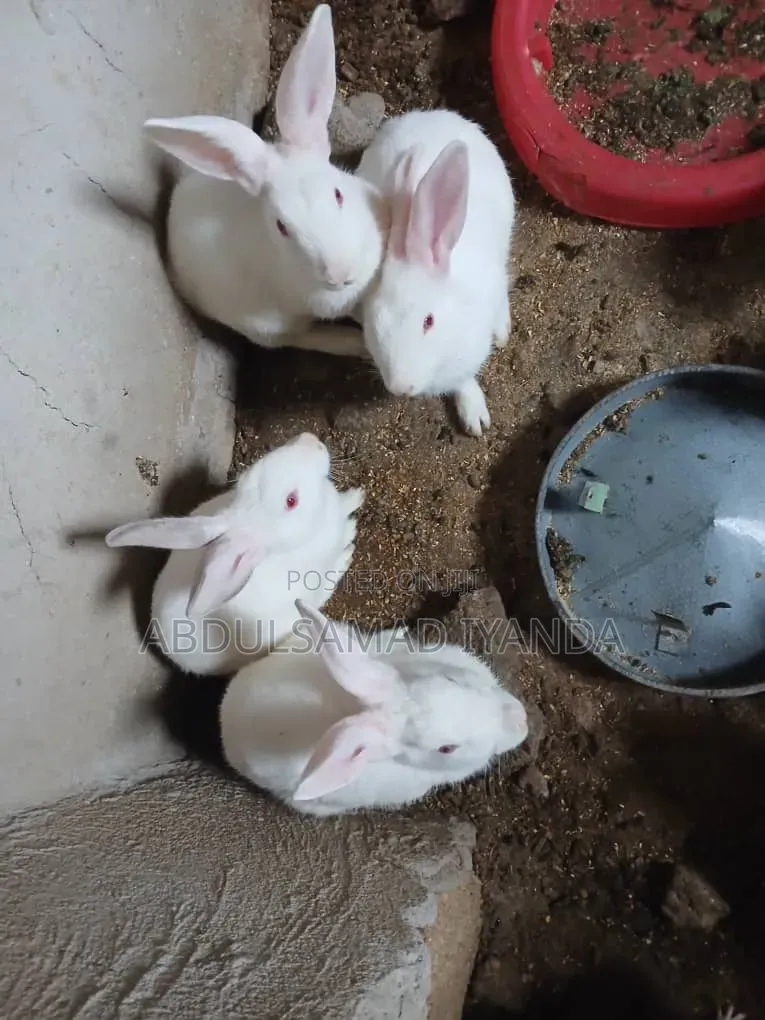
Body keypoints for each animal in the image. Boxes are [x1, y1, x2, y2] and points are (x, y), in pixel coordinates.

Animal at [143, 4, 386, 360]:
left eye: (339, 194)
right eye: (281, 227)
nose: (339, 273)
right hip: (264, 326)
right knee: (297, 338)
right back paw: (353, 344)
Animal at [354, 108, 516, 436]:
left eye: (428, 321)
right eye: (374, 320)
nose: (401, 388)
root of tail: (433, 114)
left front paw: (476, 420)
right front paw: (473, 415)